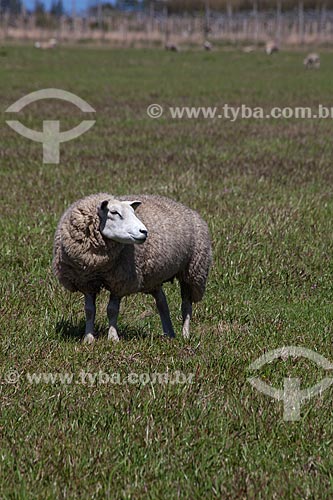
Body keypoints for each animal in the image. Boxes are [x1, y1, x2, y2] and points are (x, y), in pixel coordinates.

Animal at [53, 194, 211, 344]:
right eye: (114, 212)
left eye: (133, 213)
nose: (144, 231)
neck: (98, 264)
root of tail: (189, 210)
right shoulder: (86, 281)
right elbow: (89, 310)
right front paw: (88, 338)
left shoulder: (121, 281)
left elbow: (112, 310)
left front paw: (113, 338)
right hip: (153, 278)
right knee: (162, 303)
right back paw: (169, 334)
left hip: (193, 271)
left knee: (186, 305)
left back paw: (185, 335)